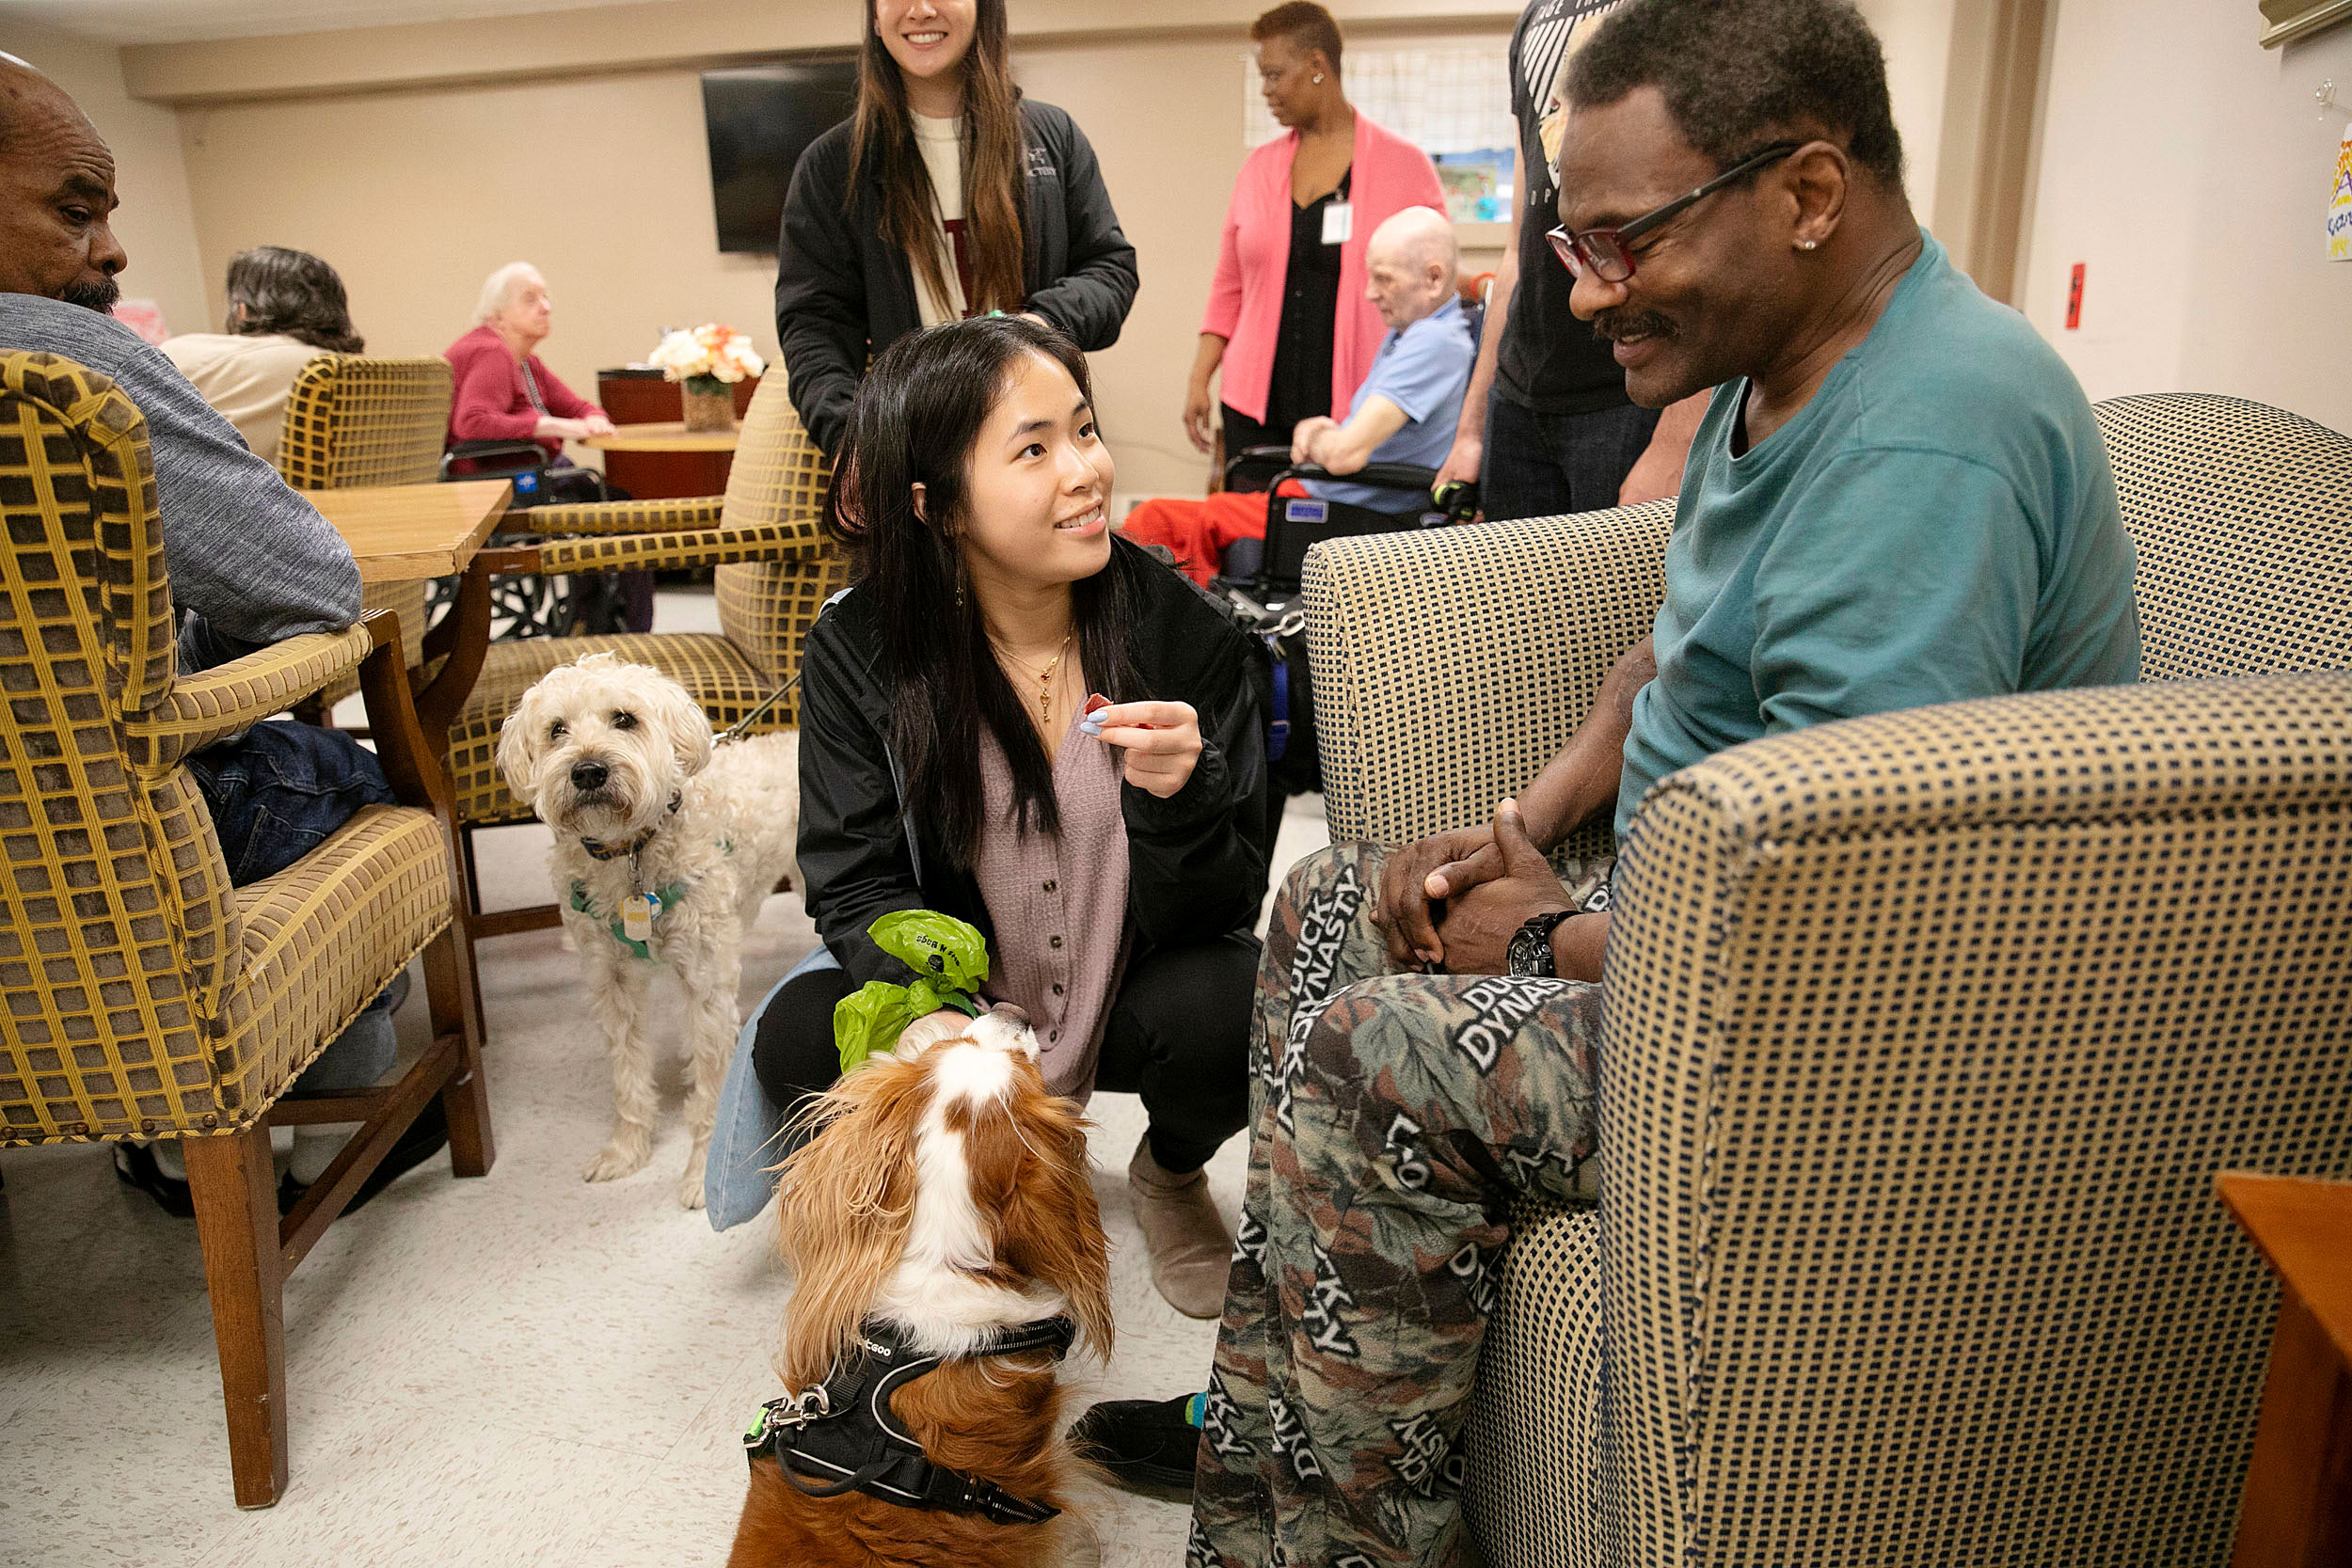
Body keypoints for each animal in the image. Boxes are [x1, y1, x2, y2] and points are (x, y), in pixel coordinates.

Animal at [496, 657, 800, 1212]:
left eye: (624, 719)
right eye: (556, 730)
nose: (588, 771)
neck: (630, 852)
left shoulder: (705, 985)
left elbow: (709, 1086)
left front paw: (700, 1174)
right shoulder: (610, 981)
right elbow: (627, 1074)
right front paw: (626, 1150)